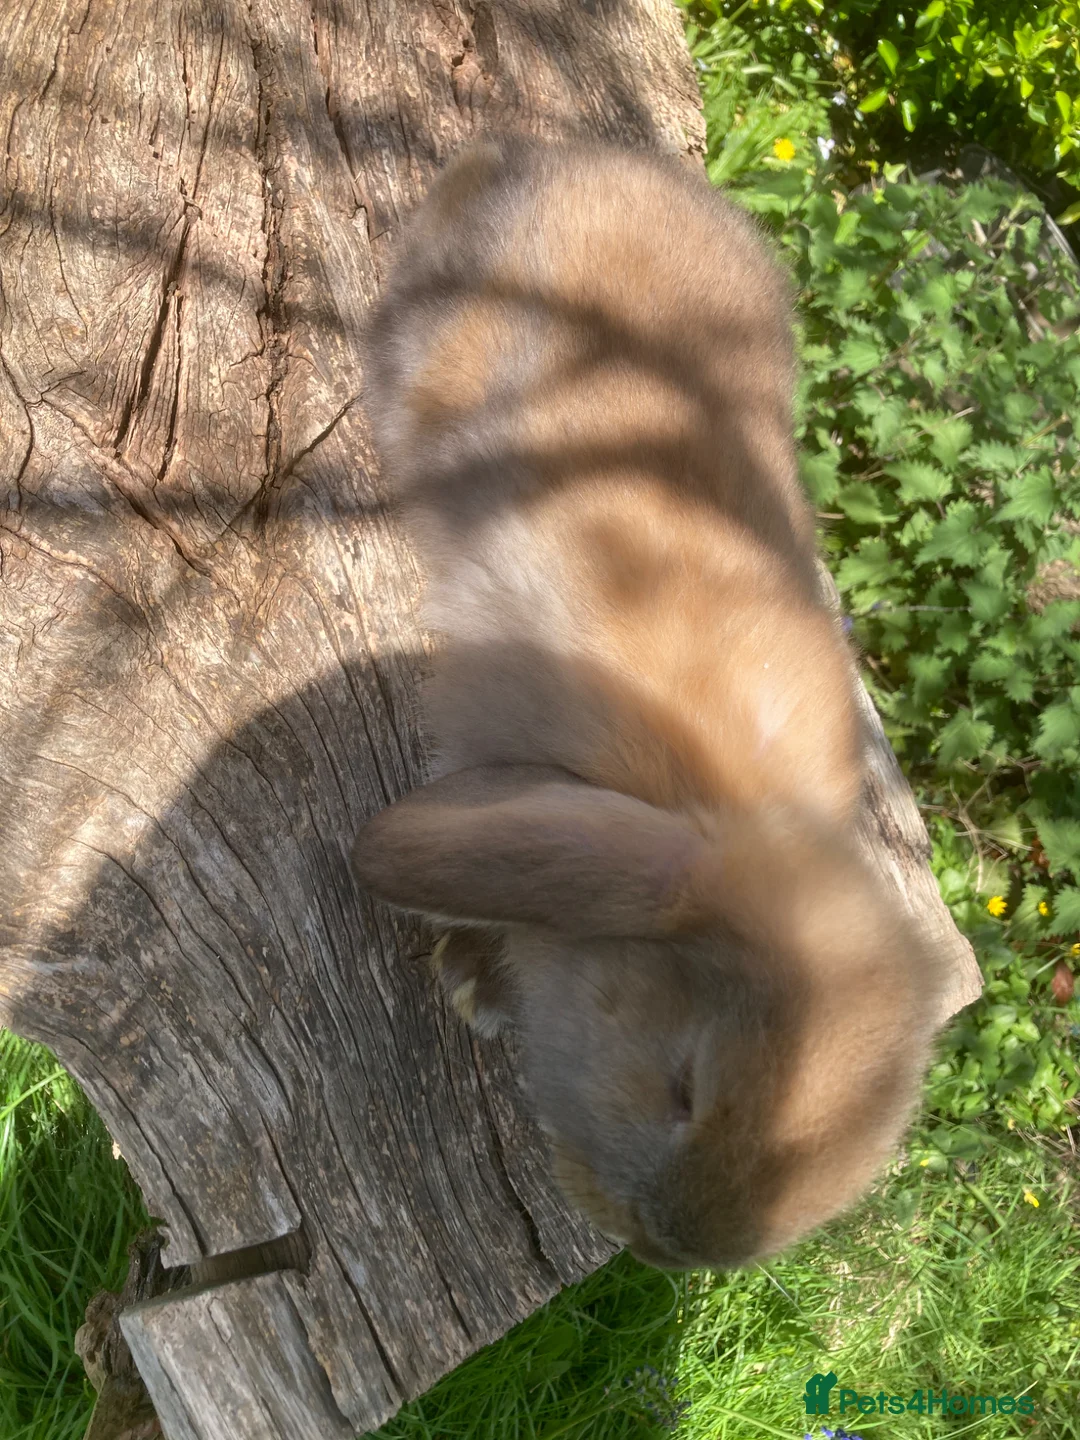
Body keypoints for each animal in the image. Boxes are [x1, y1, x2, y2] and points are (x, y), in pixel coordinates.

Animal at [352, 138, 947, 1270]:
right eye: (684, 1085)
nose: (675, 1250)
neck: (725, 803)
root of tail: (563, 158)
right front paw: (468, 974)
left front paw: (476, 983)